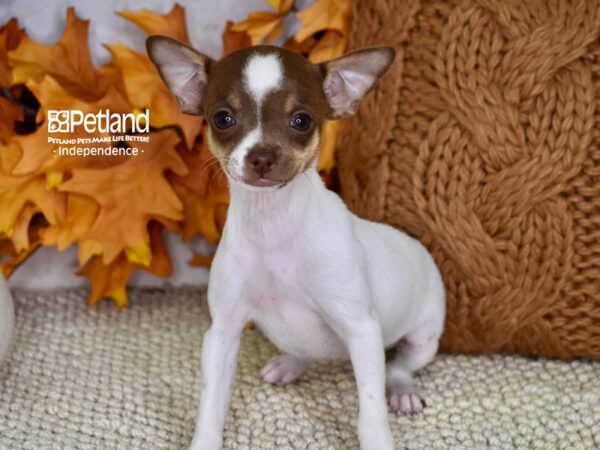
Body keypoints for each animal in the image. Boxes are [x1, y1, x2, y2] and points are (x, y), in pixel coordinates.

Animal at [146, 36, 446, 450]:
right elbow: (211, 404)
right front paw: (204, 441)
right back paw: (289, 364)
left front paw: (378, 439)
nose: (261, 157)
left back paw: (402, 391)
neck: (274, 226)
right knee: (308, 352)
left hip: (423, 339)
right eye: (222, 118)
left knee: (398, 367)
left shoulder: (362, 331)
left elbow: (371, 410)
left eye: (301, 120)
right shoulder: (222, 332)